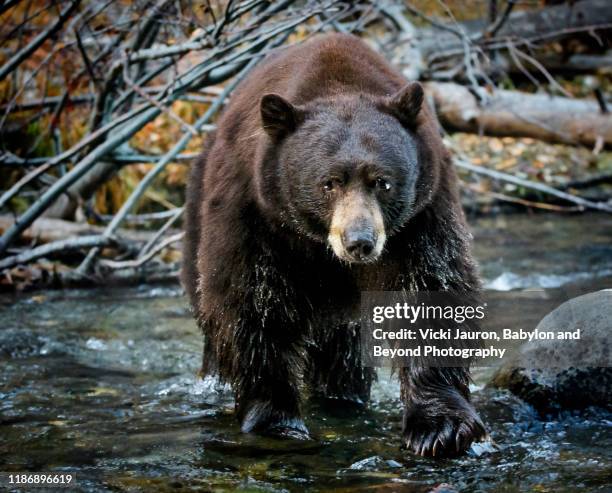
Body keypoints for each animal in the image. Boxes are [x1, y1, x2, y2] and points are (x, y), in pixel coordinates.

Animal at [182, 33, 488, 458]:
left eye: (383, 181)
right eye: (329, 183)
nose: (359, 241)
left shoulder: (422, 216)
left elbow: (431, 290)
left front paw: (440, 427)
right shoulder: (254, 214)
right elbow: (251, 304)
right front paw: (276, 421)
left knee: (343, 348)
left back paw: (343, 397)